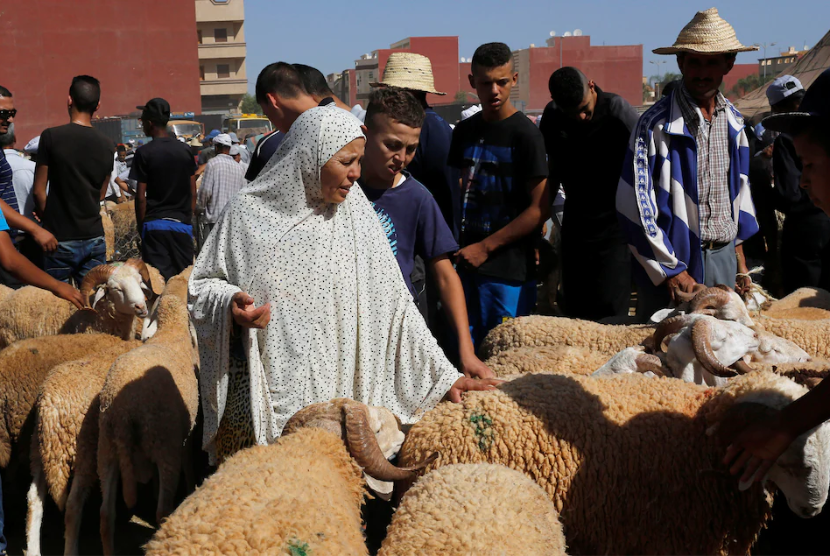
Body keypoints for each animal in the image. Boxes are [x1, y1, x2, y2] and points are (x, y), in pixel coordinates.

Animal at [25, 338, 143, 556]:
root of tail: (50, 408)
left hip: (39, 449)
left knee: (33, 499)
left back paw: (33, 550)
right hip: (84, 450)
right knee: (73, 505)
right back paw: (71, 549)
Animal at [96, 268, 200, 552]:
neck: (173, 330)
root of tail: (123, 412)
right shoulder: (185, 435)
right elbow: (189, 463)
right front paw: (190, 487)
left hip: (107, 450)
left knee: (106, 516)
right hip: (164, 445)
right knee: (162, 511)